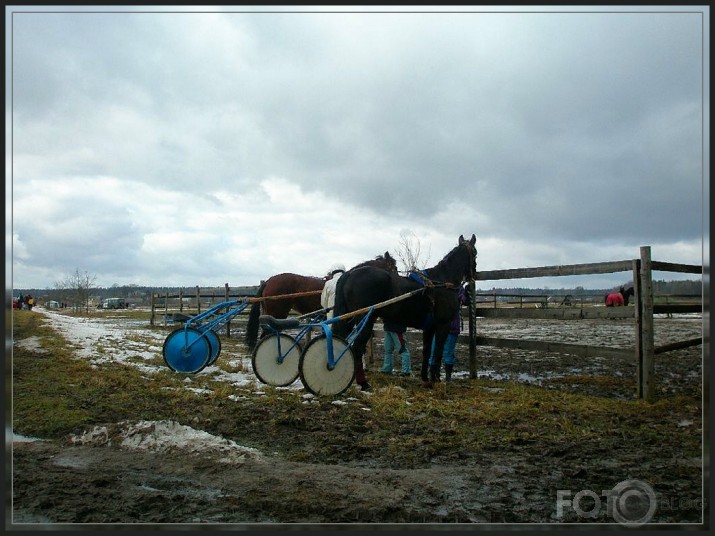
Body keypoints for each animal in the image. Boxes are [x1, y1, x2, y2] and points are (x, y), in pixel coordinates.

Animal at [332, 233, 478, 390]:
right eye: (475, 253)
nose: (473, 275)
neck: (441, 282)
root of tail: (350, 274)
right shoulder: (442, 325)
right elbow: (438, 352)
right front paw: (435, 380)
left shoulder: (430, 327)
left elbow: (427, 351)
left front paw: (426, 378)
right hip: (366, 320)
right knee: (357, 349)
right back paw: (363, 383)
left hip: (348, 319)